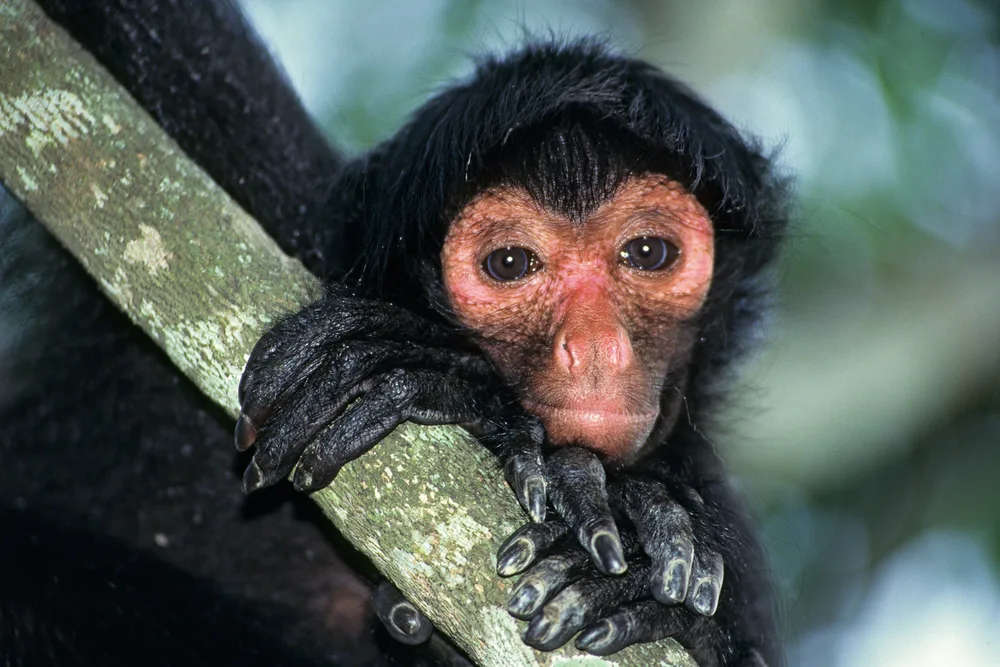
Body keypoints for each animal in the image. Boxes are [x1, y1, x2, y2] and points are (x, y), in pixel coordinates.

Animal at [0, 1, 786, 666]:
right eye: (510, 264)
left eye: (648, 253)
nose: (595, 347)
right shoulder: (257, 172)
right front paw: (442, 379)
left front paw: (639, 572)